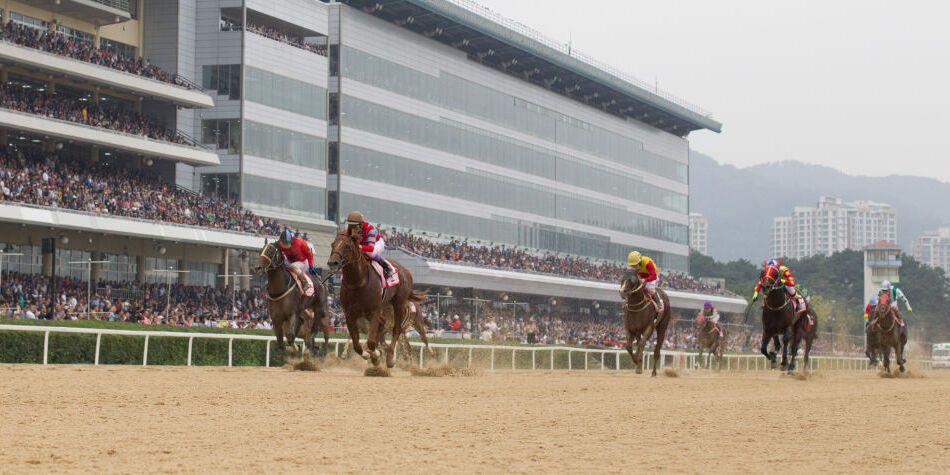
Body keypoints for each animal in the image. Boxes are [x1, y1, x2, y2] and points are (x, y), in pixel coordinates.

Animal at [330, 232, 428, 370]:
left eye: (347, 246)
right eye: (332, 244)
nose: (332, 263)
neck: (357, 282)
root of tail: (406, 271)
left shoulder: (374, 313)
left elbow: (370, 342)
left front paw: (375, 355)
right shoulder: (351, 315)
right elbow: (356, 342)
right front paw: (365, 354)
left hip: (401, 307)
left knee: (400, 333)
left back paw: (392, 358)